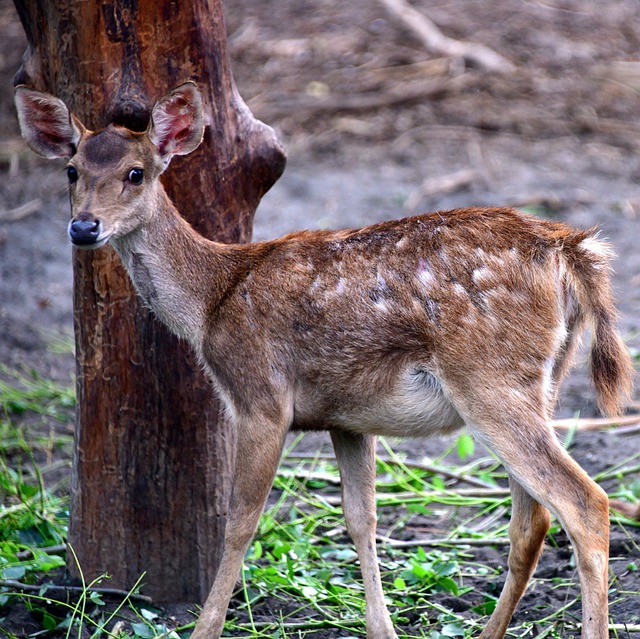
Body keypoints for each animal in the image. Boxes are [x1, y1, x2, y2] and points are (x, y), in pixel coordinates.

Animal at [16, 84, 636, 639]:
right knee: (533, 520)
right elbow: (362, 520)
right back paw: (488, 633)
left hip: (490, 380)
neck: (212, 300)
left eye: (136, 173)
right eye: (71, 170)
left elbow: (241, 522)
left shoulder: (260, 397)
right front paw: (382, 630)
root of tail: (569, 249)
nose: (84, 227)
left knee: (585, 503)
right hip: (540, 383)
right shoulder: (347, 419)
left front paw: (205, 629)